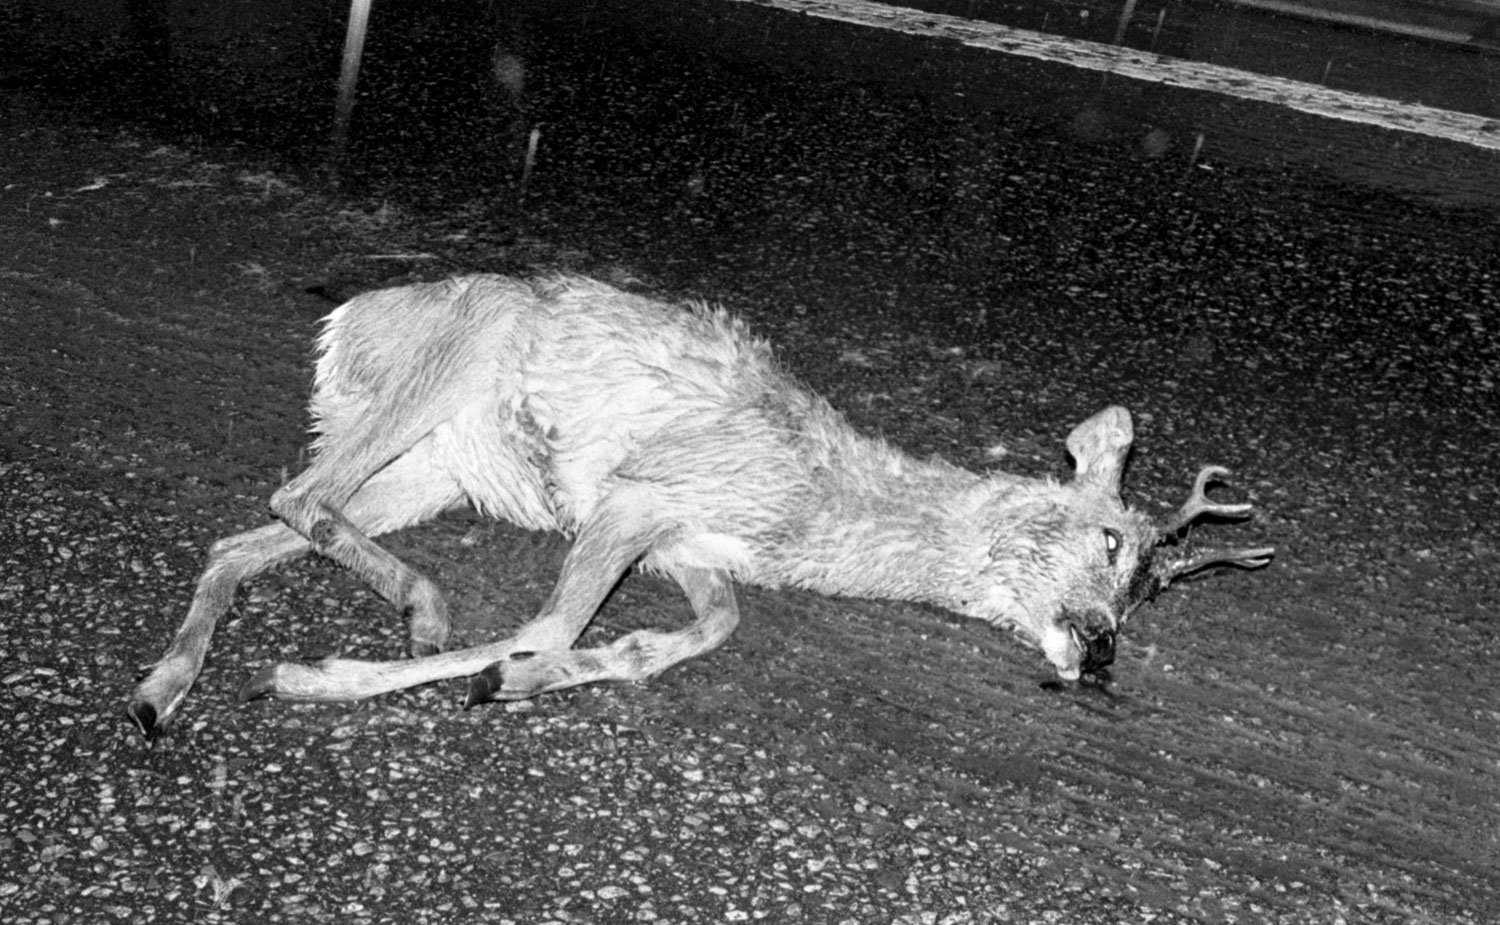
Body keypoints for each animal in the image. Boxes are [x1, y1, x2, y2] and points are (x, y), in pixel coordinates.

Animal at [127, 274, 1273, 737]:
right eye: (1112, 538)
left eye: (1154, 592)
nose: (1104, 646)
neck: (818, 505)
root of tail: (349, 323)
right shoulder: (637, 492)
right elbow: (554, 620)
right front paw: (326, 677)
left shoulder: (691, 543)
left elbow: (708, 627)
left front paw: (551, 672)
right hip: (449, 364)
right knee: (298, 490)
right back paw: (418, 612)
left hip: (435, 468)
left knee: (244, 531)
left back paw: (160, 689)